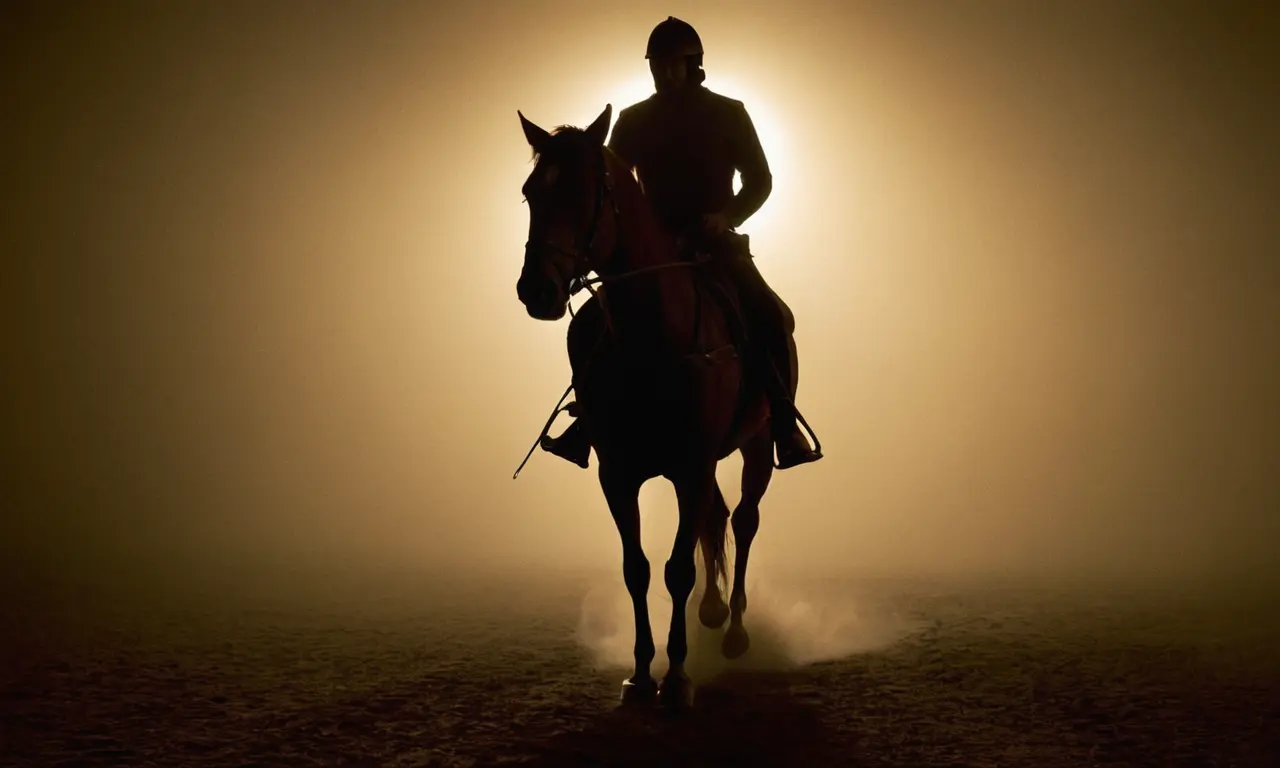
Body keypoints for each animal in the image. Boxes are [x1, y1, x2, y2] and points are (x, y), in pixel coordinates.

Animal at [514, 104, 773, 711]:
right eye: (531, 193)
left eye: (585, 193)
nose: (537, 290)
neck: (654, 339)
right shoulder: (620, 473)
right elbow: (637, 569)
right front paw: (638, 675)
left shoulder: (692, 466)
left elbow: (677, 569)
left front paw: (676, 679)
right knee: (718, 519)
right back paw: (713, 611)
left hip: (756, 446)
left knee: (745, 520)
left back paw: (734, 631)